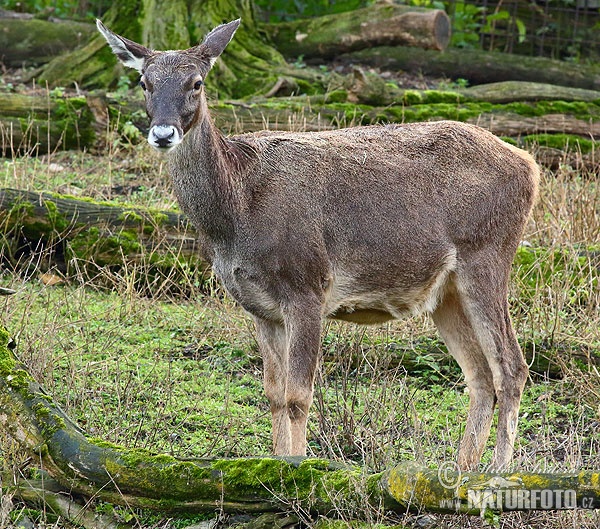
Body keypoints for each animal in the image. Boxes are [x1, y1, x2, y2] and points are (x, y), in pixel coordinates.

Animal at [97, 17, 540, 470]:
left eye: (197, 82)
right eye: (145, 82)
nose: (163, 133)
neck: (237, 213)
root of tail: (530, 166)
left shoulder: (308, 285)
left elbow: (298, 396)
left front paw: (299, 469)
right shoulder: (259, 307)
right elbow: (273, 395)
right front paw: (275, 465)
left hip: (487, 253)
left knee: (512, 366)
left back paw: (499, 469)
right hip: (445, 292)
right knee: (480, 375)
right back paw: (463, 469)